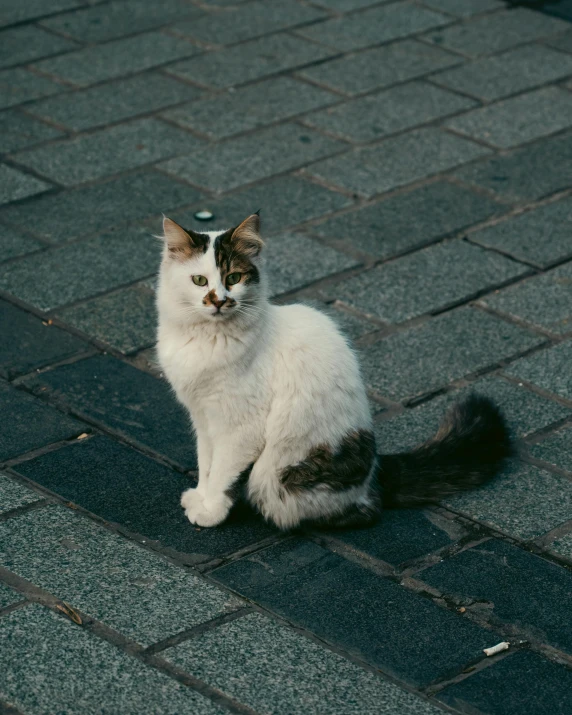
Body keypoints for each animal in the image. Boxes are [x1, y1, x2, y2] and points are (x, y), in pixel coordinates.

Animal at [154, 213, 512, 532]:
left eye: (233, 279)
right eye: (200, 281)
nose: (218, 301)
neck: (207, 340)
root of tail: (376, 470)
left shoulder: (240, 427)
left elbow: (222, 472)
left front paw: (211, 511)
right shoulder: (203, 418)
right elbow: (206, 464)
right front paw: (199, 497)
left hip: (277, 476)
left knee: (365, 512)